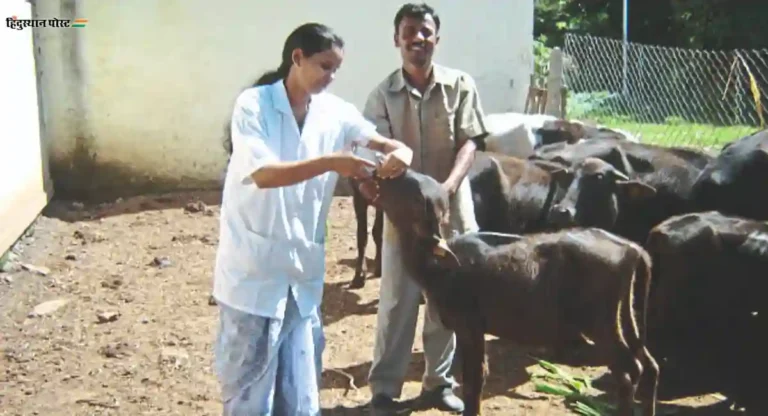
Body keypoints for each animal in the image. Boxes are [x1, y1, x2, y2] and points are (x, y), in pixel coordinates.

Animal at [354, 168, 660, 416]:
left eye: (408, 188)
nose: (376, 174)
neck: (441, 264)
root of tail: (631, 248)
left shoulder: (470, 326)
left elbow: (474, 380)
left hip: (600, 324)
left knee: (630, 370)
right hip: (625, 318)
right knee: (649, 366)